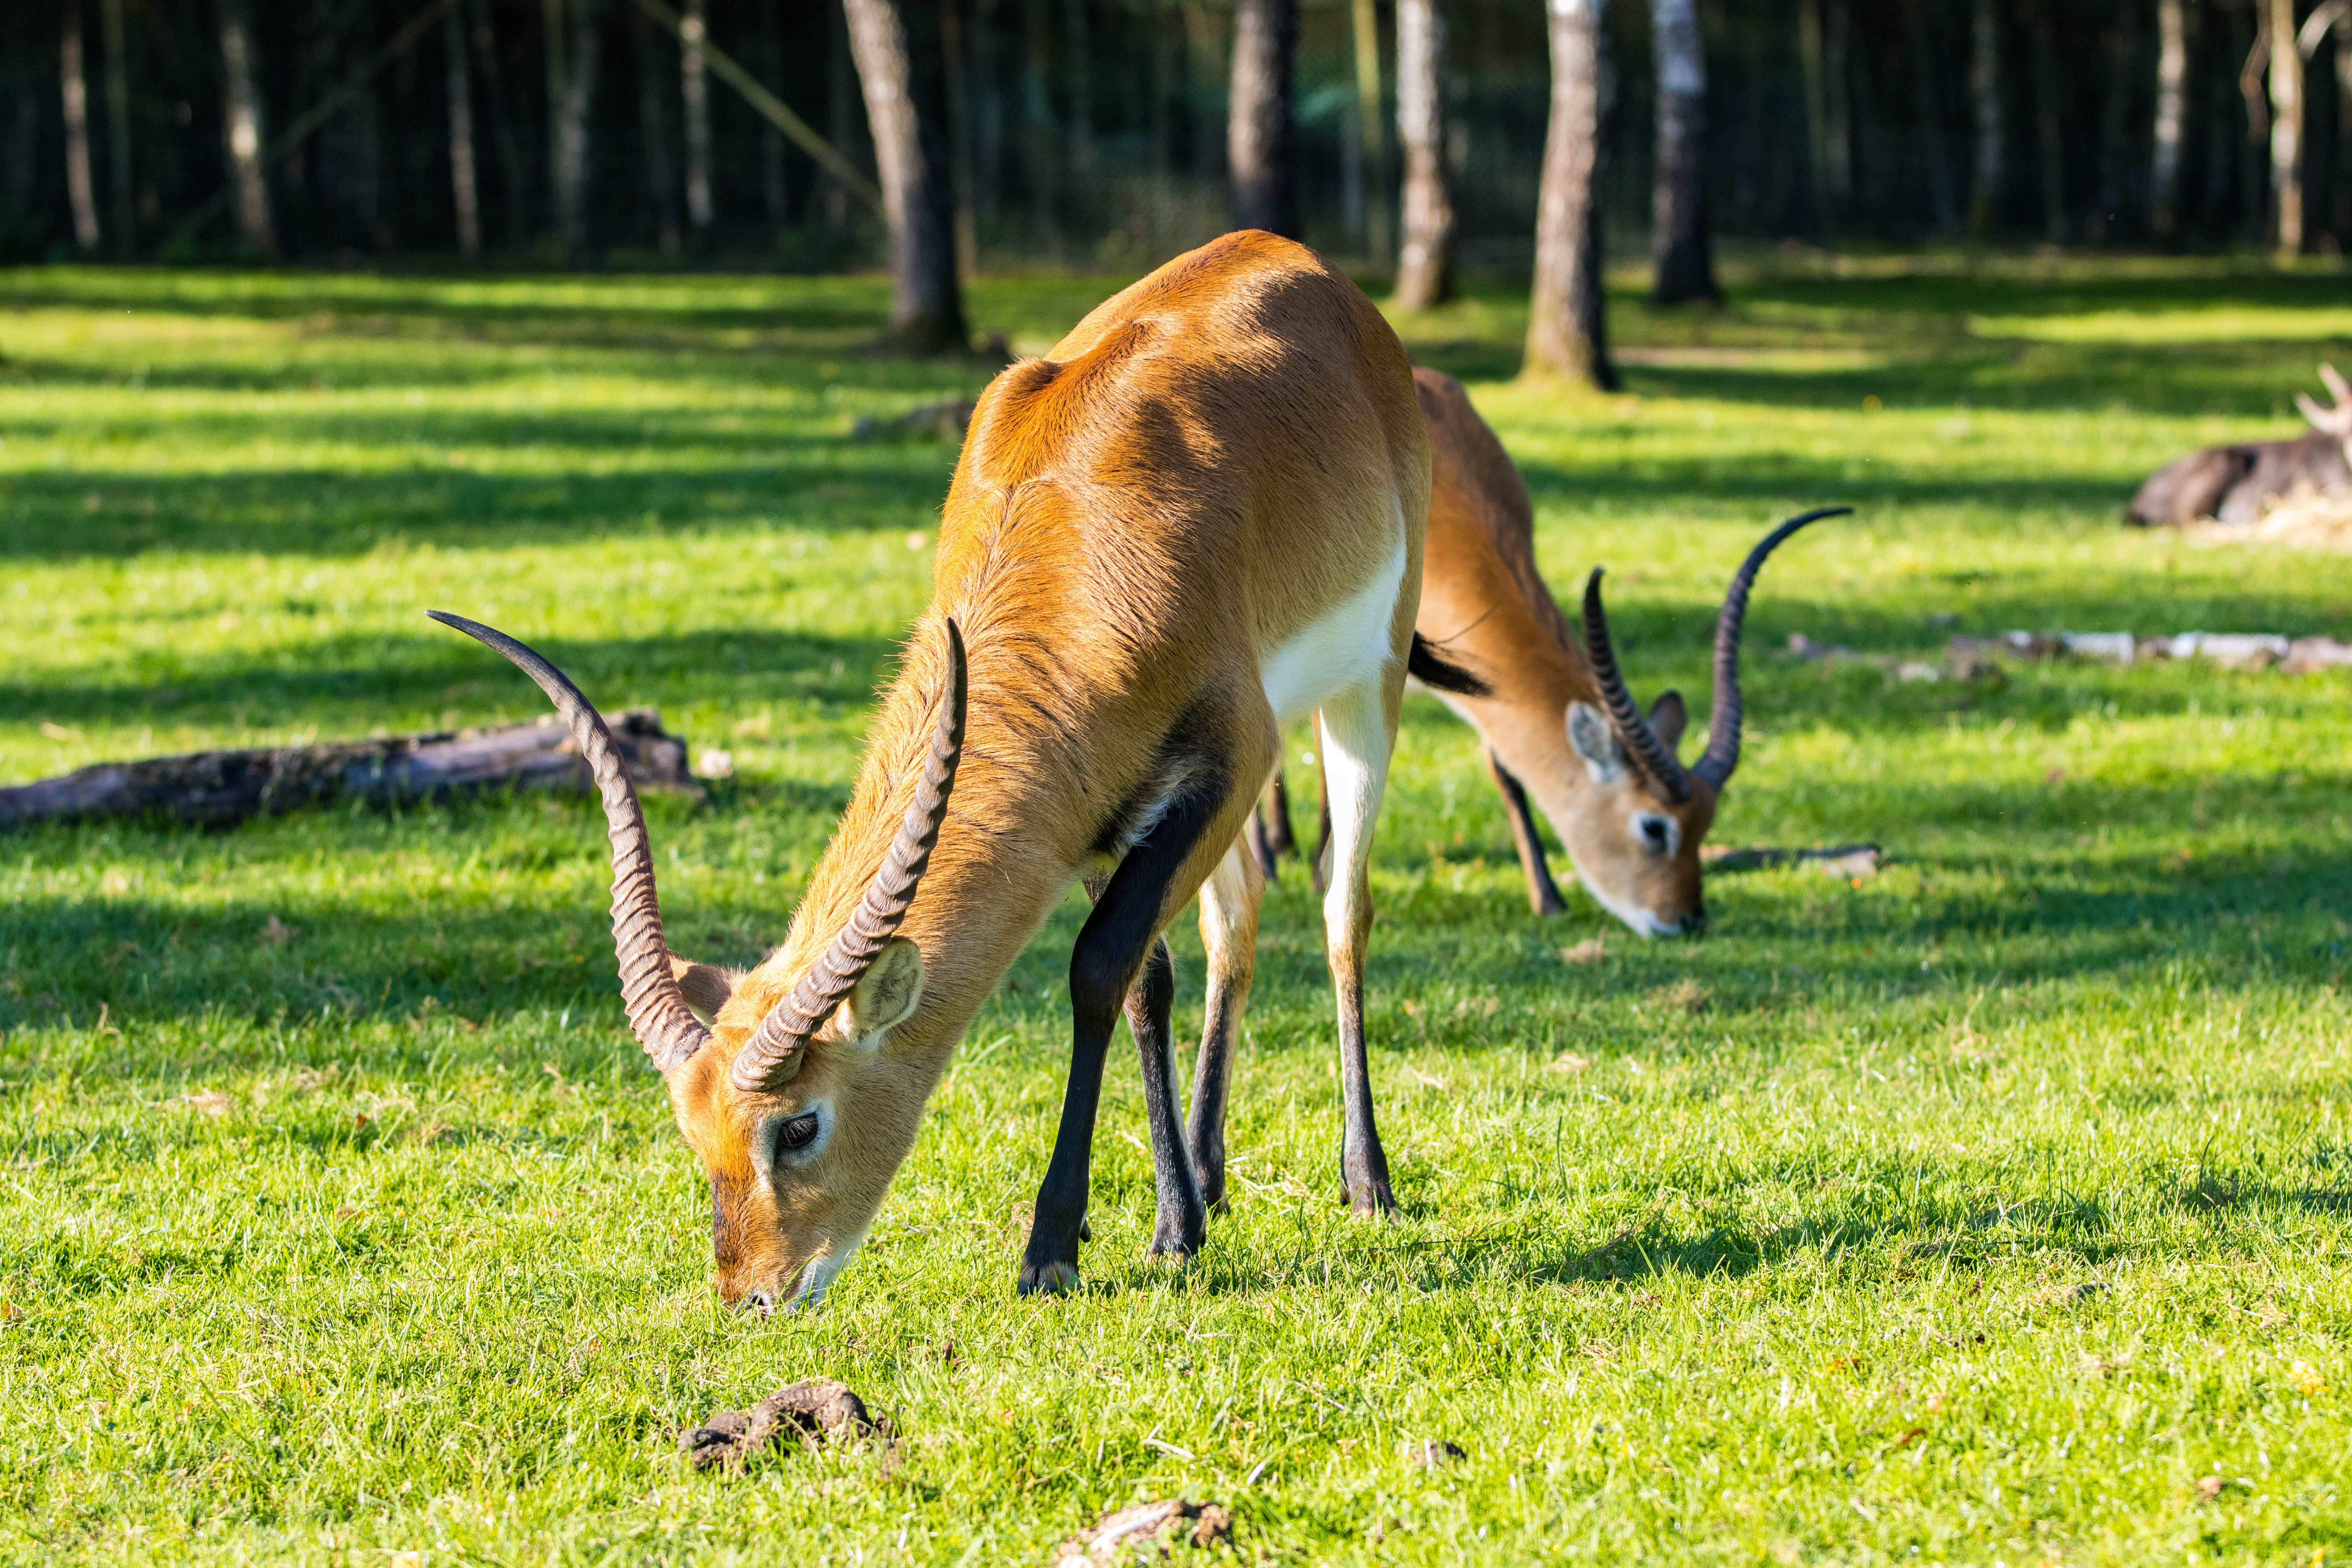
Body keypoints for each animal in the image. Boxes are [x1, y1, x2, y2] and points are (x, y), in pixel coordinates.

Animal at [433, 230, 1477, 1316]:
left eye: (797, 1124)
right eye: (695, 1132)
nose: (754, 1293)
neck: (1085, 535)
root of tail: (1300, 263)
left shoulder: (1231, 760)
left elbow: (1096, 969)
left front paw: (1056, 1245)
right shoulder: (1100, 809)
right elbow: (1145, 984)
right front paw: (1173, 1225)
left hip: (1367, 686)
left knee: (1342, 910)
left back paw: (1368, 1181)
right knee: (1237, 927)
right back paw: (1209, 1175)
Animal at [1260, 369, 1844, 931]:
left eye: (1706, 825)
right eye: (1654, 827)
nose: (1686, 920)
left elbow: (1504, 769)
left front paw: (1548, 897)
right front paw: (1311, 872)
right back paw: (1275, 857)